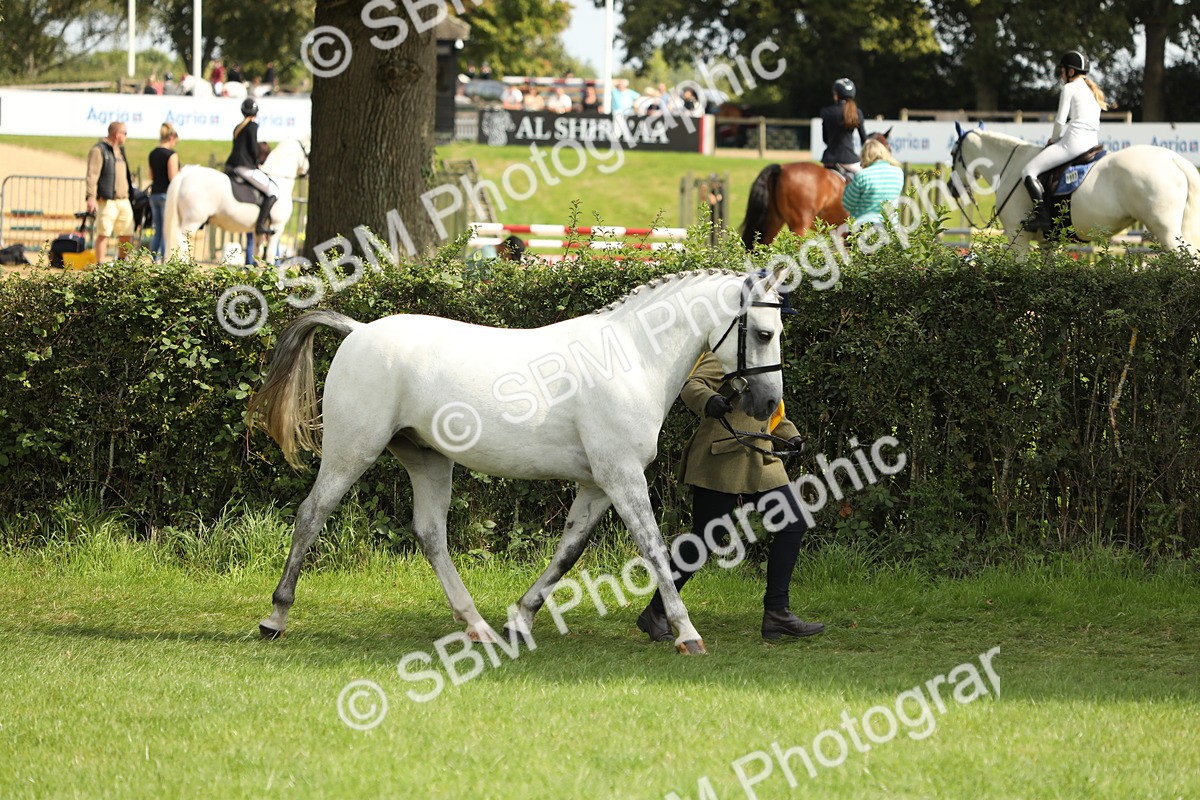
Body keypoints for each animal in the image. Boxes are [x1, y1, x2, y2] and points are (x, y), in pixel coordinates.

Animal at [161, 137, 309, 264]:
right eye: (308, 153)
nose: (307, 173)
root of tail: (185, 174)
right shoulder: (277, 226)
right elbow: (270, 254)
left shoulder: (257, 231)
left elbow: (256, 253)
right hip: (193, 220)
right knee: (180, 241)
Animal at [245, 266, 792, 655]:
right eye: (764, 333)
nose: (768, 405)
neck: (630, 358)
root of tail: (357, 330)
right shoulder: (622, 477)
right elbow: (655, 548)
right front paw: (686, 633)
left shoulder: (598, 484)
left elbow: (568, 551)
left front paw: (520, 620)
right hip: (352, 450)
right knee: (311, 515)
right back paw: (275, 618)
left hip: (427, 459)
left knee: (430, 534)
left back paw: (479, 627)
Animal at [949, 125, 1200, 258]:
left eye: (953, 154)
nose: (952, 188)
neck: (1011, 166)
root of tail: (1175, 159)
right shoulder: (1048, 243)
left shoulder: (1017, 239)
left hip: (1166, 232)